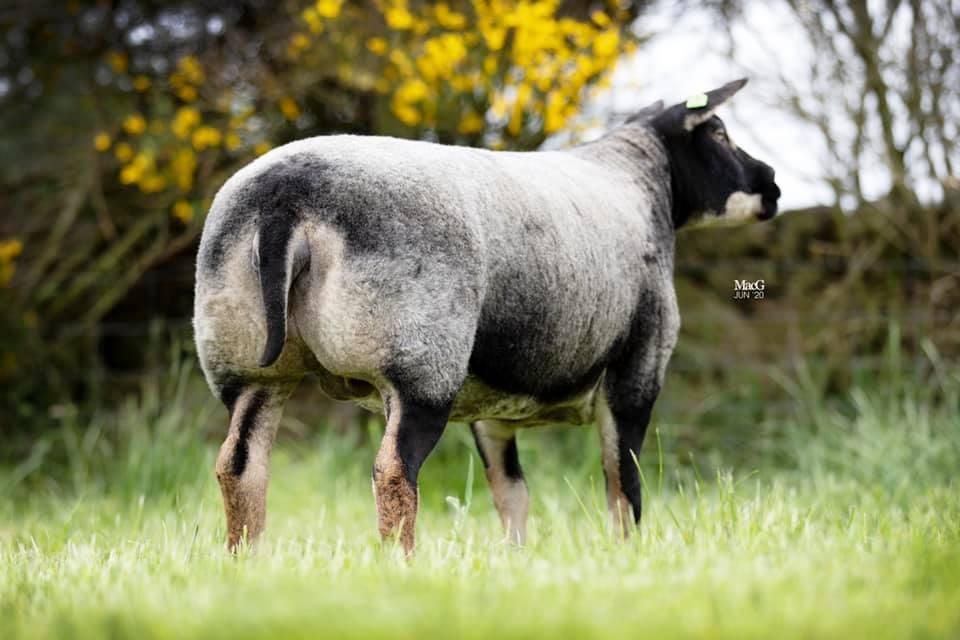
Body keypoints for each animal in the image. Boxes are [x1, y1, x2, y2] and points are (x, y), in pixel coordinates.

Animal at [193, 78, 781, 553]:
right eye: (720, 133)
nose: (772, 183)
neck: (643, 184)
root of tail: (284, 204)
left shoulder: (493, 403)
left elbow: (511, 493)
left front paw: (515, 562)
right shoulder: (636, 373)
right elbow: (624, 485)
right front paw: (628, 557)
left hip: (246, 364)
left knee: (239, 467)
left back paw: (245, 563)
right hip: (419, 359)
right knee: (394, 471)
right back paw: (399, 565)